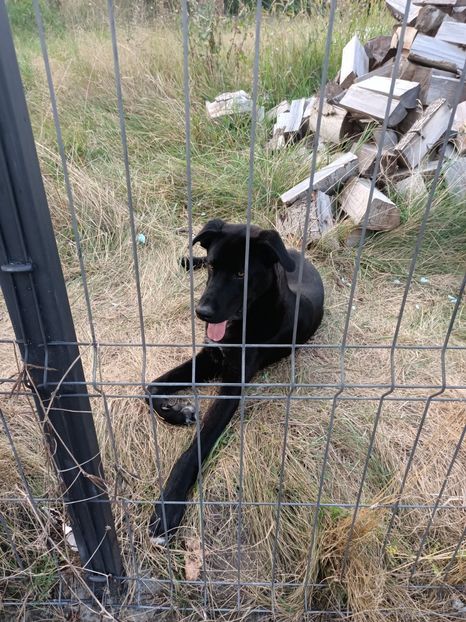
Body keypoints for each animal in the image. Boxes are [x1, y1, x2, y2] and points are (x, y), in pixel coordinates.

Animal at [146, 222, 324, 544]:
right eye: (213, 267)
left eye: (241, 274)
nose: (201, 313)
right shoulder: (208, 357)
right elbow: (150, 388)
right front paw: (179, 412)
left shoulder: (233, 385)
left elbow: (196, 448)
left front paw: (168, 508)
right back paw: (187, 259)